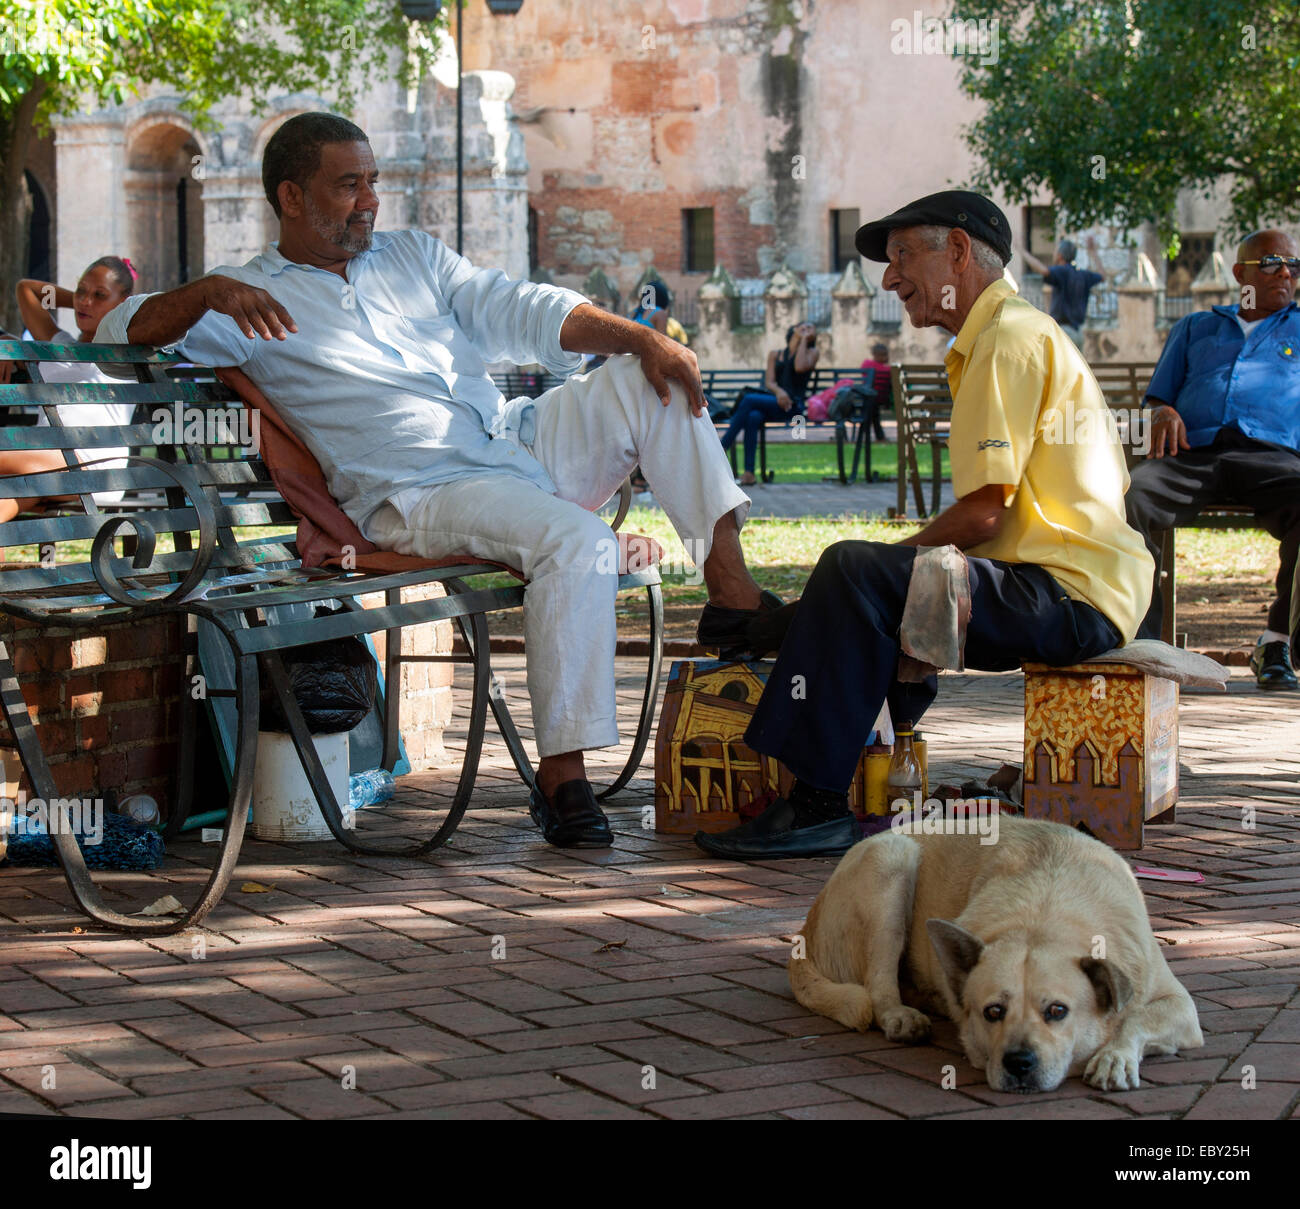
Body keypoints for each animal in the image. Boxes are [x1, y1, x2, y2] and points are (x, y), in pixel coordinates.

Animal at [790, 816, 1206, 1086]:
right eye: (993, 1012)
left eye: (1057, 1011)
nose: (1019, 1062)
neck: (1044, 915)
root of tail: (802, 933)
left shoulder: (1180, 1005)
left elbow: (1136, 1020)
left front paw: (1114, 1057)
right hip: (891, 861)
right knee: (879, 987)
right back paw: (901, 1014)